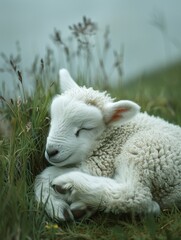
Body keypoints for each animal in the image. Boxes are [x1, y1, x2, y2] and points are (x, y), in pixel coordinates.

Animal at [34, 69, 181, 221]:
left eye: (85, 128)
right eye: (52, 120)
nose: (51, 151)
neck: (112, 137)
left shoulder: (100, 165)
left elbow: (44, 174)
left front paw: (57, 206)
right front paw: (55, 205)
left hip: (146, 148)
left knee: (134, 194)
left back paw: (68, 185)